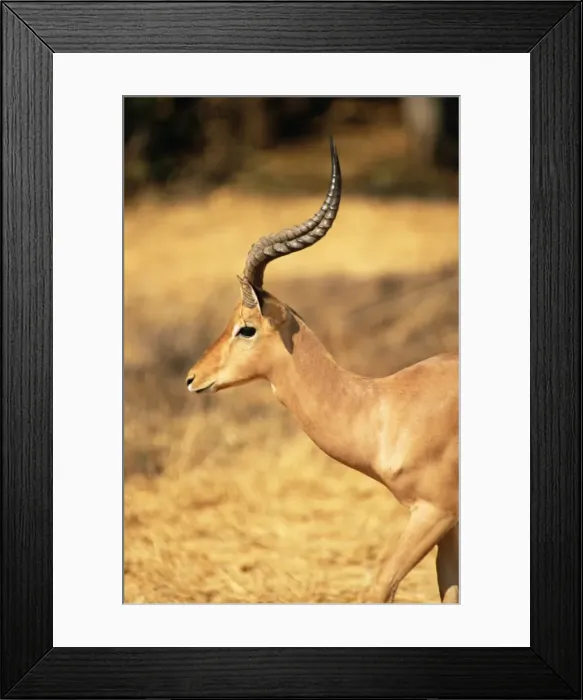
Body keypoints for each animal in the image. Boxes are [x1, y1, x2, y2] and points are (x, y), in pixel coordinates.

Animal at [186, 139, 459, 603]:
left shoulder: (435, 513)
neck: (383, 409)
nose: (192, 378)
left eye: (246, 327)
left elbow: (380, 586)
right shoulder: (450, 529)